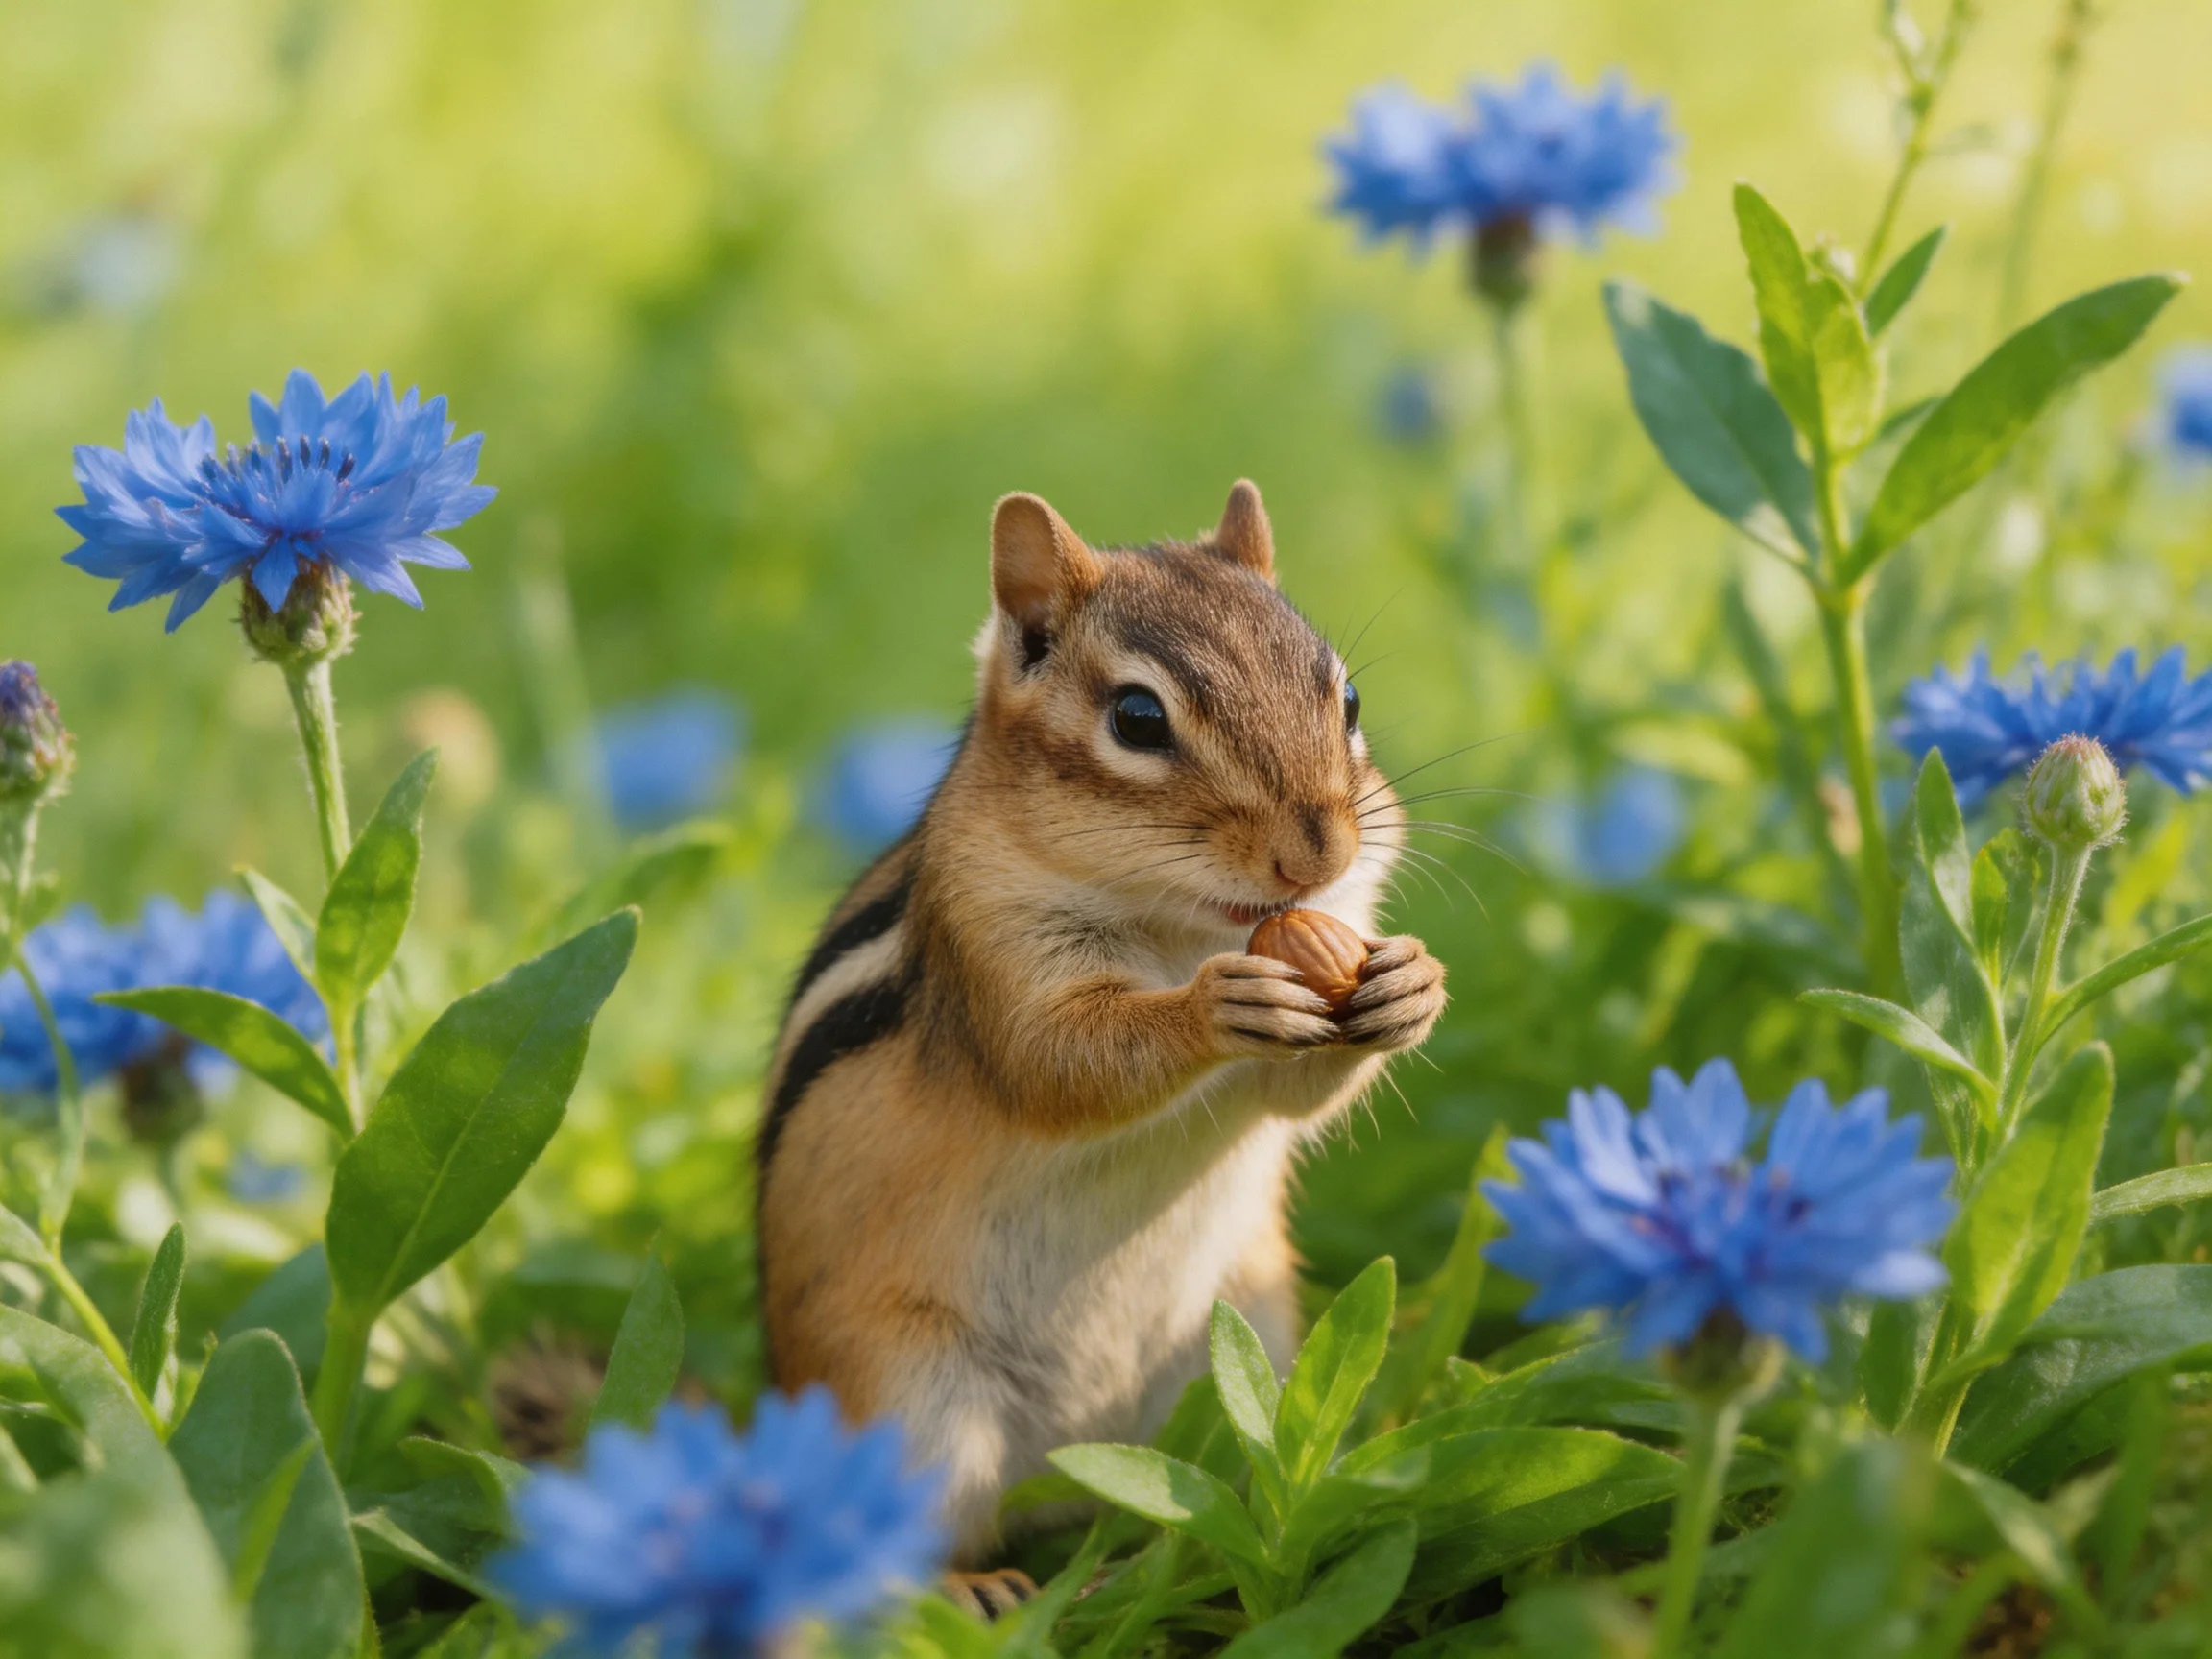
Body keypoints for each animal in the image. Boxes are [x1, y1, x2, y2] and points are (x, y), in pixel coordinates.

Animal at [756, 481, 1446, 1600]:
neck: (1186, 925)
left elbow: (1296, 1094)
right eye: (1136, 718)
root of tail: (1067, 1471)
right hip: (908, 1408)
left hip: (1251, 1343)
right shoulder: (991, 955)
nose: (1321, 852)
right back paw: (972, 1590)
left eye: (1346, 701)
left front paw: (1411, 985)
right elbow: (1061, 1064)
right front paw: (1216, 1008)